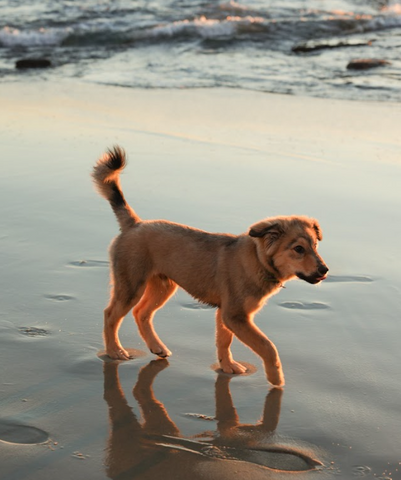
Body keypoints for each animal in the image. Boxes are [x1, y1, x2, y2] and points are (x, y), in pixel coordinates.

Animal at [93, 146, 328, 386]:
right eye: (298, 249)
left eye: (315, 245)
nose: (324, 271)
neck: (258, 261)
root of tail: (135, 224)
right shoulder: (234, 315)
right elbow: (267, 345)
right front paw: (275, 376)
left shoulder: (226, 314)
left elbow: (224, 342)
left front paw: (227, 366)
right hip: (131, 285)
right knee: (110, 315)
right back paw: (114, 351)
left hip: (163, 286)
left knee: (141, 313)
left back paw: (156, 347)